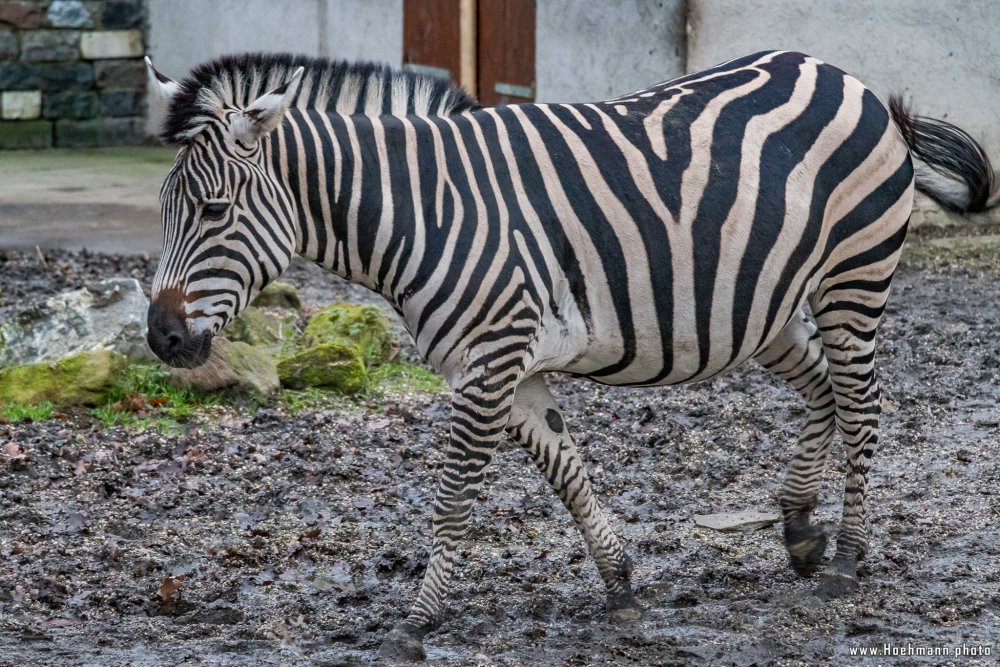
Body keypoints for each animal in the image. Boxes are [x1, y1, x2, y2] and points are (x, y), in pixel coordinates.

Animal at [143, 49, 1000, 660]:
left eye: (213, 211)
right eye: (163, 209)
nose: (161, 338)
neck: (423, 212)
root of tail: (849, 78)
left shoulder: (488, 360)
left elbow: (454, 499)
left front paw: (415, 621)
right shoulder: (507, 366)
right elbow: (566, 470)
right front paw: (619, 583)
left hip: (854, 277)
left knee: (863, 405)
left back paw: (848, 559)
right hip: (767, 308)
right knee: (825, 390)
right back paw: (798, 529)